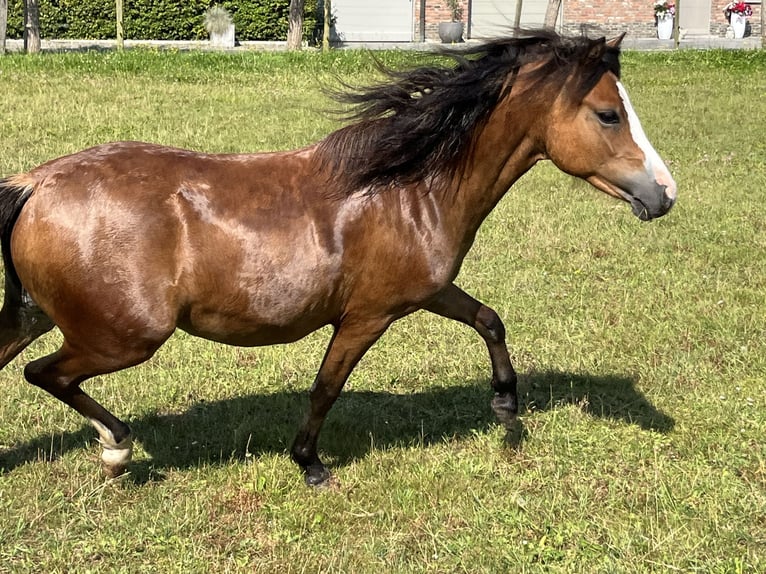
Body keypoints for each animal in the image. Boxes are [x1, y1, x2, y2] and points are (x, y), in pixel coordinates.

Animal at [0, 31, 676, 488]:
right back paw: (115, 448)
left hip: (38, 314)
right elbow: (327, 386)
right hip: (123, 336)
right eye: (608, 114)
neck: (407, 187)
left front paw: (506, 405)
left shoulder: (428, 291)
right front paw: (310, 464)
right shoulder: (367, 315)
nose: (664, 195)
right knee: (46, 374)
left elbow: (490, 319)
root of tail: (38, 182)